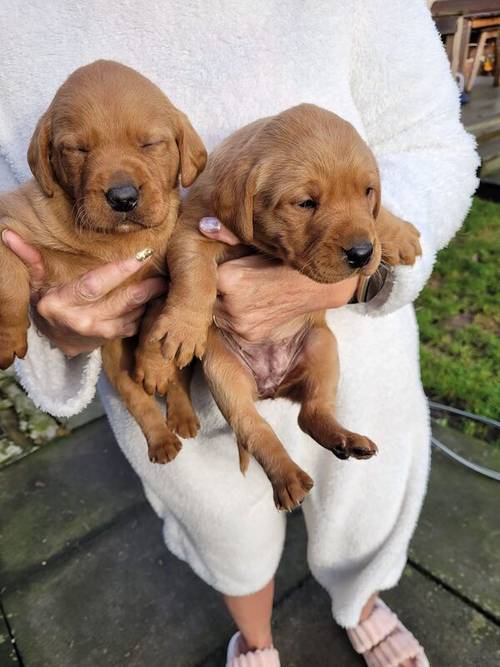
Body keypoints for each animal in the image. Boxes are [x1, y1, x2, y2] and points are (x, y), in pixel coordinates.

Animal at [0, 58, 207, 464]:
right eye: (78, 149)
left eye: (150, 143)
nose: (123, 197)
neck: (112, 243)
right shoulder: (8, 223)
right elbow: (8, 282)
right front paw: (7, 335)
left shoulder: (160, 277)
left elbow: (157, 324)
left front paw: (153, 366)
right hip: (113, 362)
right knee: (137, 400)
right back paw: (161, 441)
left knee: (177, 384)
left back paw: (182, 415)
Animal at [141, 104, 422, 512]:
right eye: (306, 203)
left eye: (367, 191)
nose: (362, 254)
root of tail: (272, 386)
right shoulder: (193, 230)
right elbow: (195, 275)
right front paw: (183, 328)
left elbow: (376, 215)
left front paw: (397, 232)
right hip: (224, 373)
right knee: (254, 427)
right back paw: (288, 479)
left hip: (322, 347)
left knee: (311, 413)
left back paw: (345, 439)